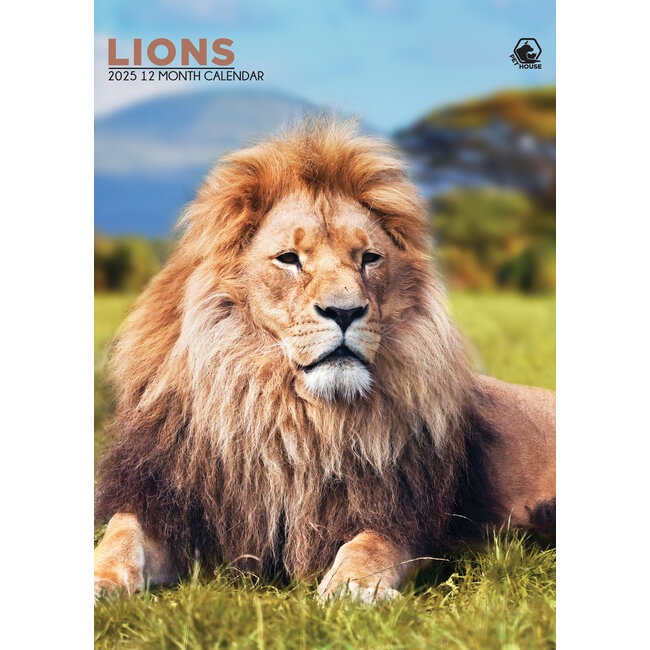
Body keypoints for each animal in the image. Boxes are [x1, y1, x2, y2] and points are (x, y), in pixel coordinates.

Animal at [94, 119, 555, 602]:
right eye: (289, 259)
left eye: (369, 258)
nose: (345, 311)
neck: (293, 416)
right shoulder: (166, 502)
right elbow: (120, 534)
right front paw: (100, 580)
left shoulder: (402, 516)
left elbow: (368, 547)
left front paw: (352, 589)